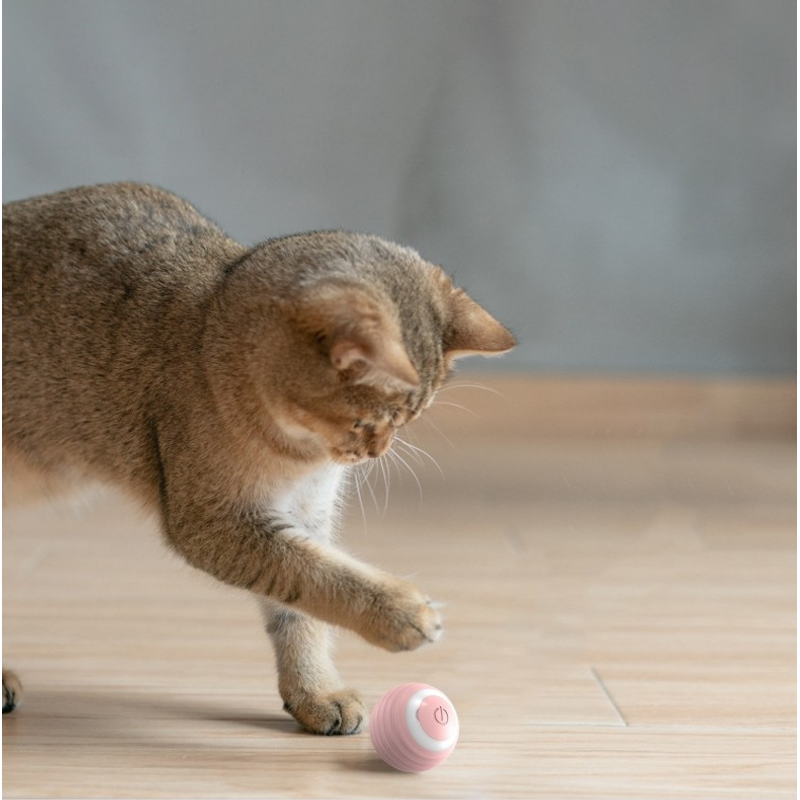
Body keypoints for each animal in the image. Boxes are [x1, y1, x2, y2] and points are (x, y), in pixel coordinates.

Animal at [1, 182, 515, 733]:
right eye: (366, 422)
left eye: (407, 422)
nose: (374, 453)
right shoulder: (214, 521)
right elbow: (316, 574)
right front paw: (398, 613)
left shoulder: (304, 513)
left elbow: (301, 609)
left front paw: (316, 692)